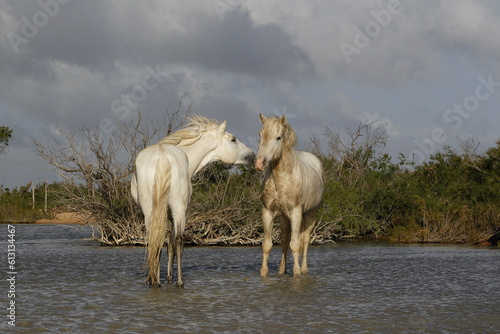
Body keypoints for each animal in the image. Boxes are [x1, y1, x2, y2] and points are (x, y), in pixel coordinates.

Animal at [131, 115, 254, 288]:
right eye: (233, 139)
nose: (253, 156)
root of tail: (162, 157)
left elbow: (165, 244)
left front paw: (163, 276)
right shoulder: (177, 215)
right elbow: (172, 244)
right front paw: (170, 277)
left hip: (152, 212)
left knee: (155, 240)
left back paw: (155, 281)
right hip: (178, 212)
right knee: (176, 242)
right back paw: (178, 281)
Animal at [254, 114, 324, 276]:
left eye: (278, 137)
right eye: (260, 134)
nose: (260, 162)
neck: (281, 179)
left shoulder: (296, 213)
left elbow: (296, 244)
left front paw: (297, 272)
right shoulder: (267, 213)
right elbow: (267, 244)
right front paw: (263, 272)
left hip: (310, 214)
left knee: (305, 240)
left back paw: (304, 269)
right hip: (284, 217)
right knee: (285, 239)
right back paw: (282, 269)